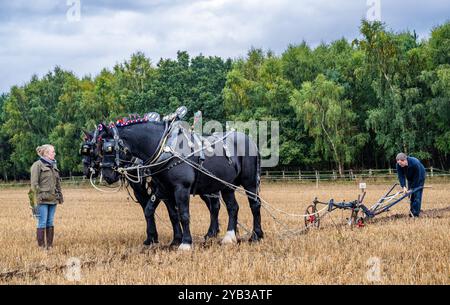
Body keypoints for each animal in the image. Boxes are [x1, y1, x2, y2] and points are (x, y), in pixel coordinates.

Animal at [81, 129, 222, 246]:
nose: (86, 171)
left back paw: (211, 233)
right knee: (212, 206)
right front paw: (152, 237)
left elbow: (172, 214)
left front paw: (177, 238)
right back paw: (213, 232)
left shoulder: (162, 192)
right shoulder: (141, 194)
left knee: (214, 206)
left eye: (94, 150)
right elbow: (149, 212)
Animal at [96, 119, 262, 249]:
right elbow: (155, 211)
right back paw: (229, 237)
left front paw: (185, 242)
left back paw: (256, 235)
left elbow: (183, 214)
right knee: (232, 207)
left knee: (254, 205)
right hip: (226, 185)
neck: (166, 149)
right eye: (101, 149)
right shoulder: (163, 190)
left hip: (249, 182)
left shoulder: (181, 189)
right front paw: (158, 239)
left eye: (110, 148)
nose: (107, 175)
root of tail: (250, 140)